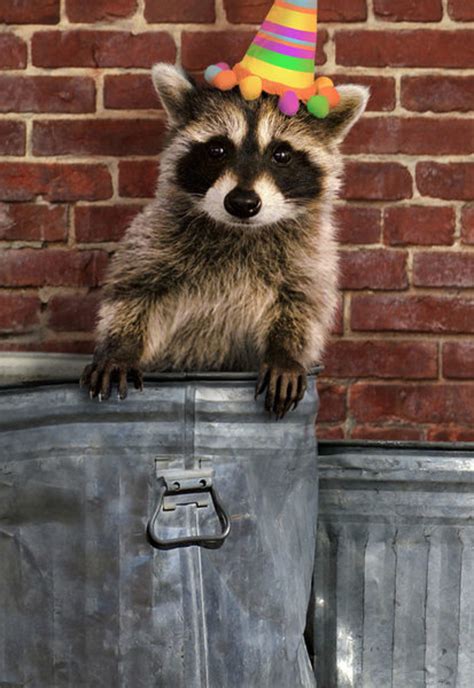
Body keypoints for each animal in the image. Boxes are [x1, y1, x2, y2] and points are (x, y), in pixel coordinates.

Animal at [81, 63, 368, 418]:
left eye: (281, 154)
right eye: (217, 150)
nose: (243, 204)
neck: (240, 231)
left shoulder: (312, 255)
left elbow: (305, 304)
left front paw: (286, 351)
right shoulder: (155, 238)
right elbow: (134, 292)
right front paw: (121, 346)